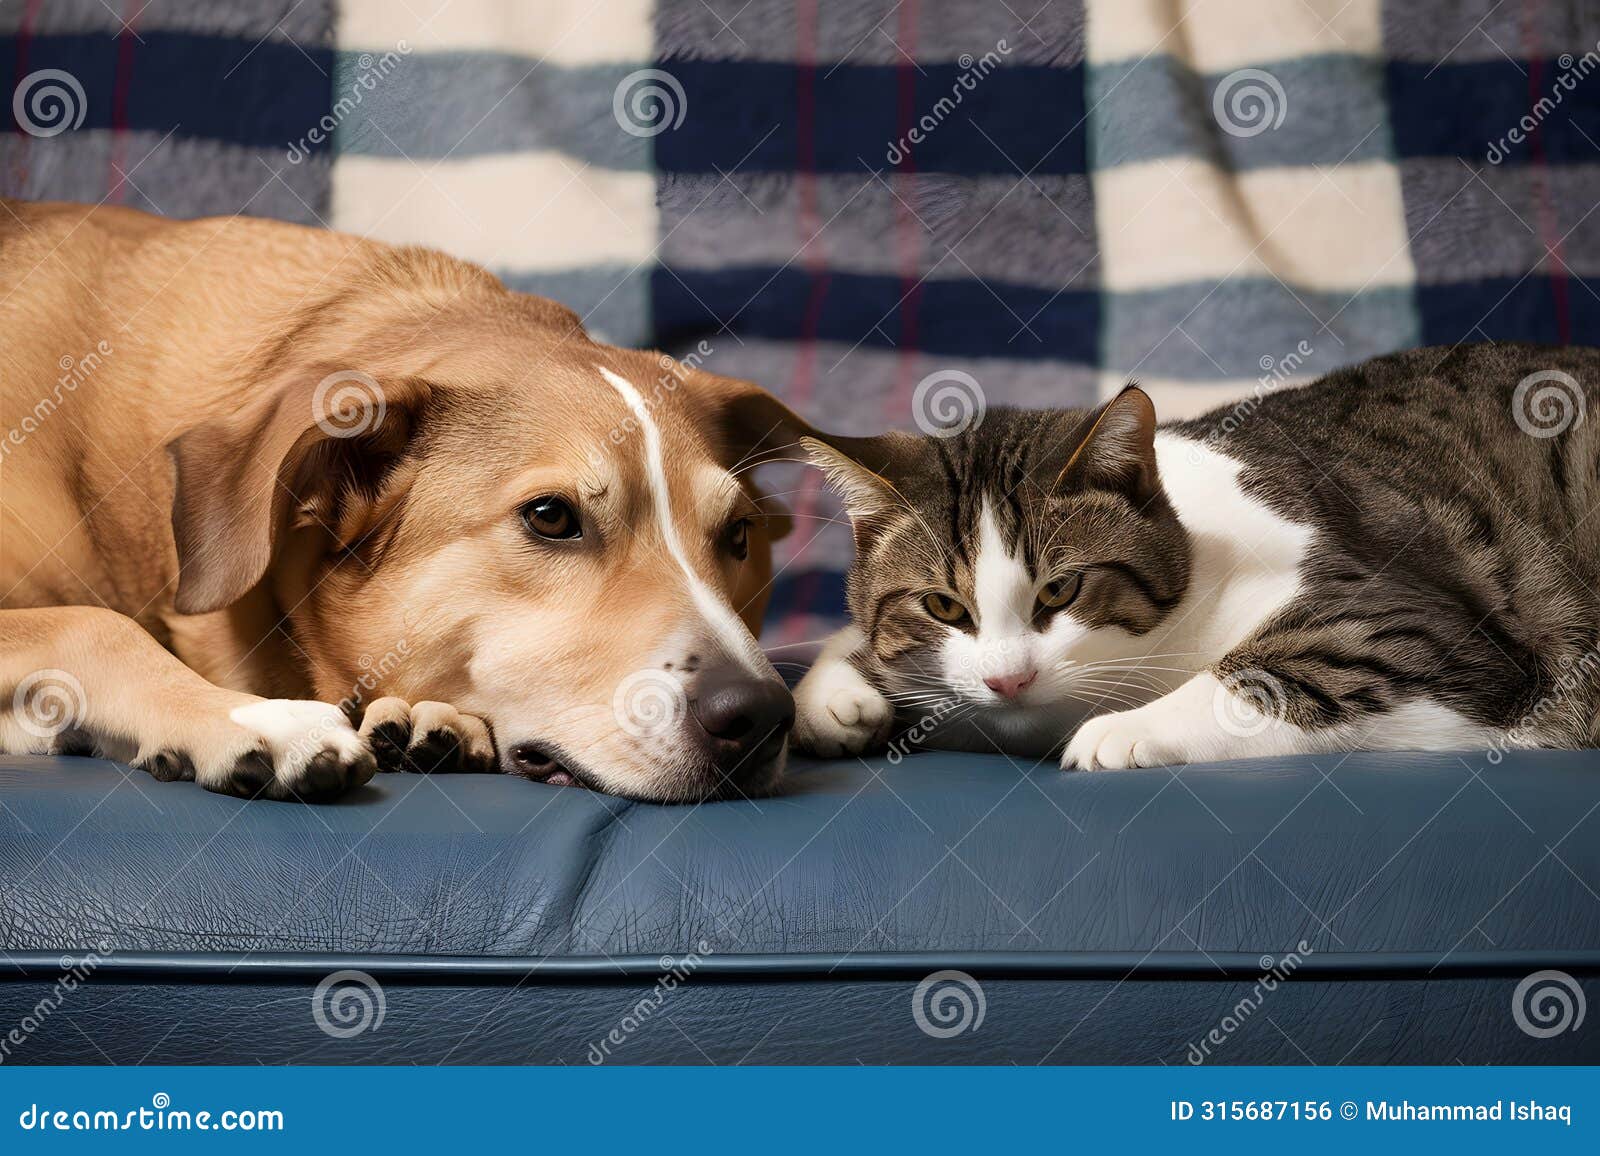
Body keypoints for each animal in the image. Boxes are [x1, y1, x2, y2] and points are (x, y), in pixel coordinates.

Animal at [793, 339, 1600, 765]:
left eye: (1061, 590)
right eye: (942, 605)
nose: (1008, 680)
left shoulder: (1429, 637)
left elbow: (1260, 677)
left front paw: (1120, 732)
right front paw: (836, 692)